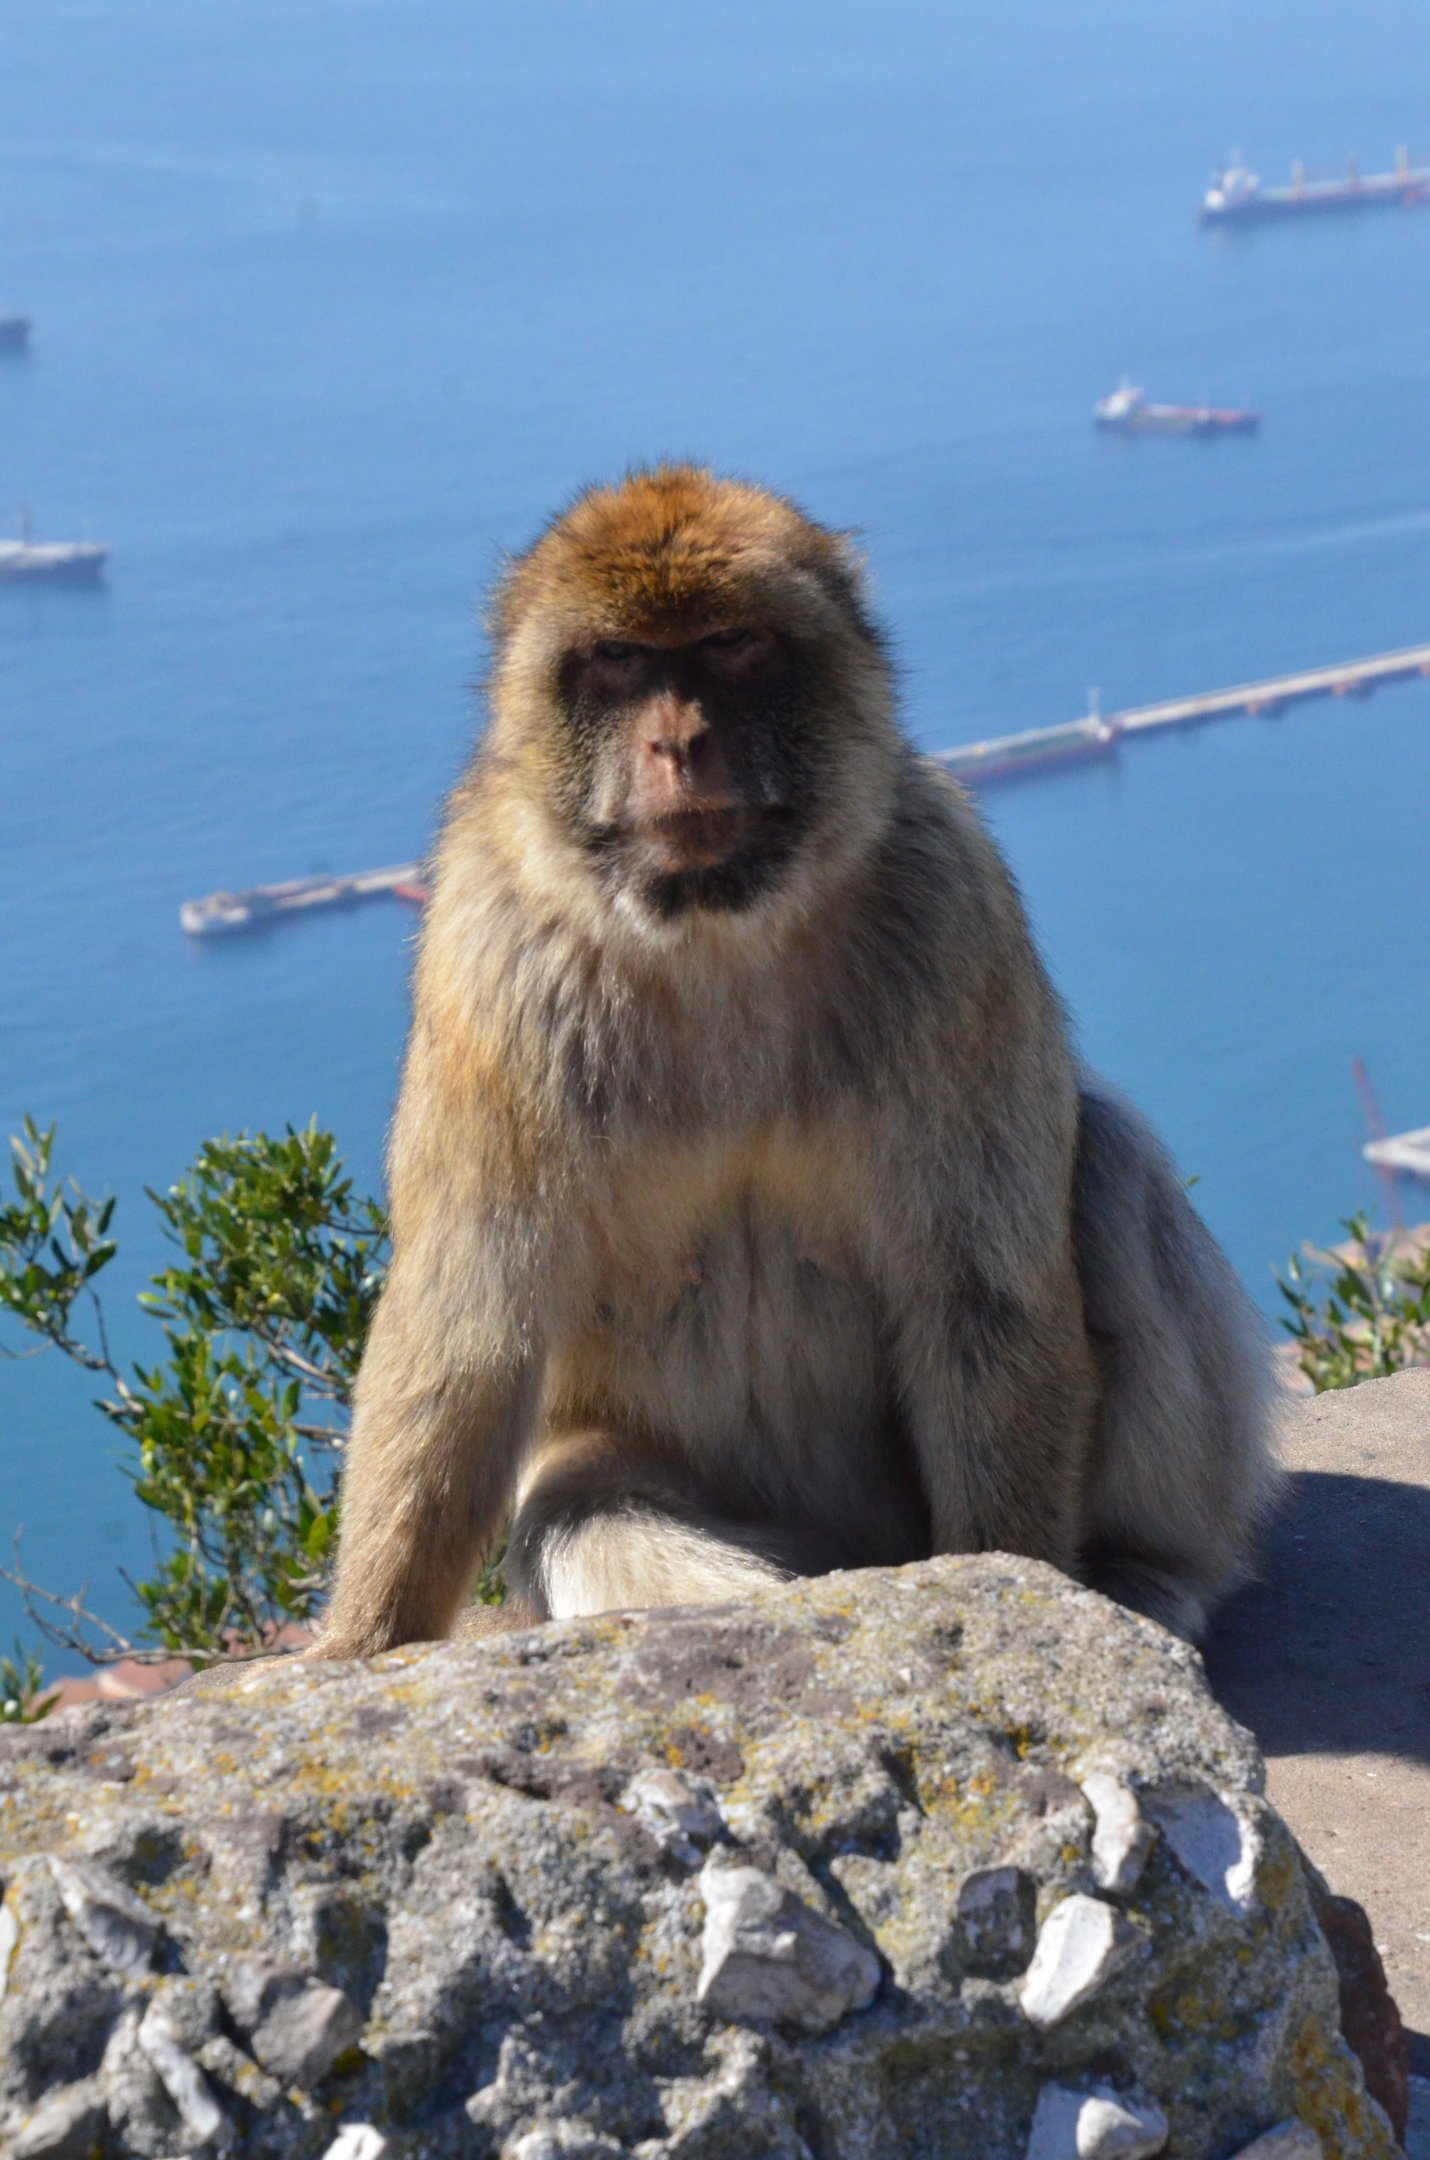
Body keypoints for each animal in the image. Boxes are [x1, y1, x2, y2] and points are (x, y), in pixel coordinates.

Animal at [314, 462, 1275, 1663]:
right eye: (619, 661)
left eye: (730, 647)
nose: (677, 744)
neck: (716, 932)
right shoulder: (488, 957)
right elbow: (467, 1340)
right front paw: (361, 1644)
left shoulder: (948, 899)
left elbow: (979, 1289)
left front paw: (1016, 1594)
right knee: (583, 1509)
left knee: (1099, 1161)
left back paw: (1151, 1572)